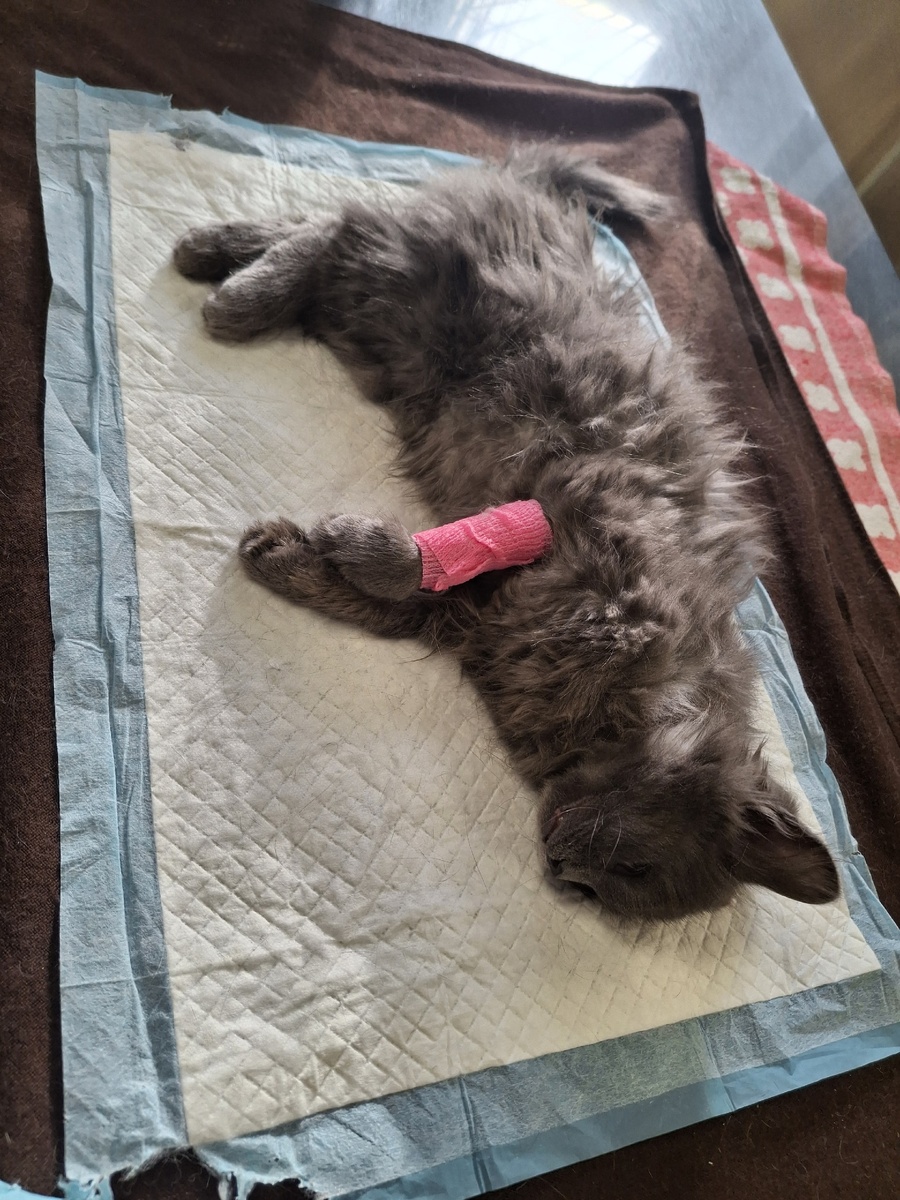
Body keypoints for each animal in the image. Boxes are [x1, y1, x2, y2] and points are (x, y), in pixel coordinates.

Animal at [173, 147, 839, 922]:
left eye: (612, 890)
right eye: (632, 868)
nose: (563, 874)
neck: (645, 687)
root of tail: (537, 192)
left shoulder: (470, 619)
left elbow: (372, 597)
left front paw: (284, 553)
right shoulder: (575, 526)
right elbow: (421, 556)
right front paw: (349, 538)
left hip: (389, 334)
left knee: (335, 231)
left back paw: (217, 250)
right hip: (440, 303)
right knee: (347, 226)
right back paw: (237, 291)